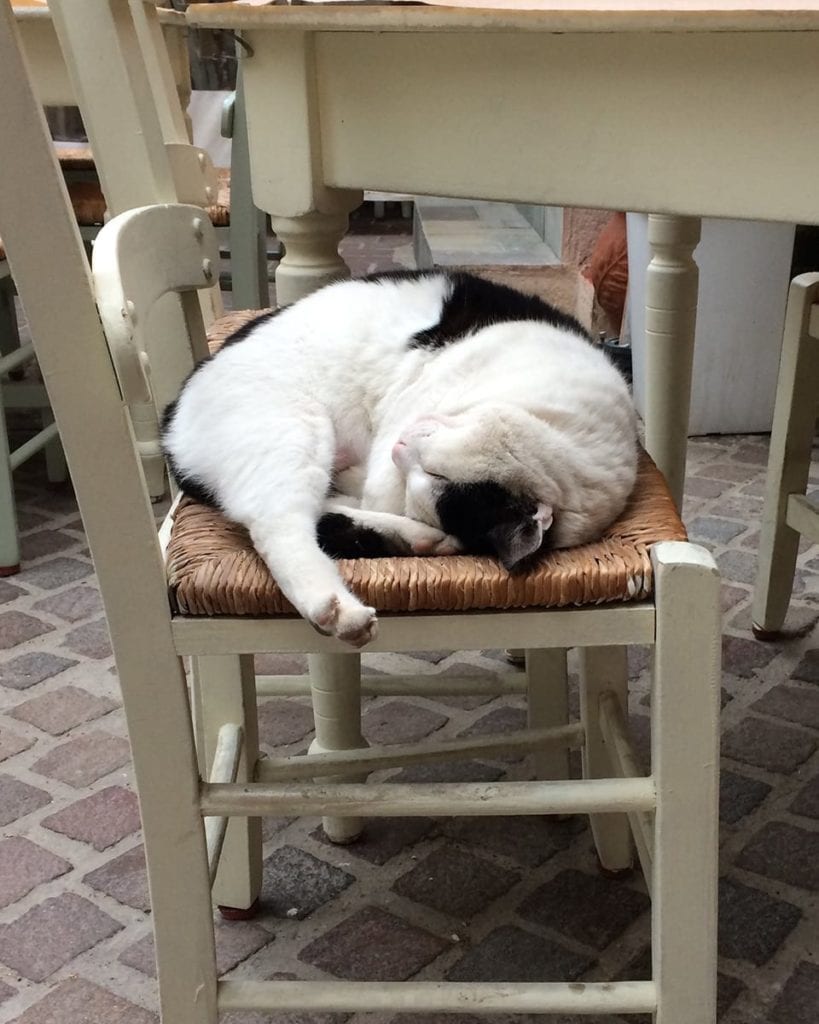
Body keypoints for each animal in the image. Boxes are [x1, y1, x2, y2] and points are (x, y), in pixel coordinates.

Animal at [158, 268, 634, 643]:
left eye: (433, 476)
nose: (402, 445)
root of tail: (172, 415)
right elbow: (375, 488)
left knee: (311, 515)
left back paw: (418, 540)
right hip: (294, 430)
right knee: (278, 524)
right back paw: (340, 610)